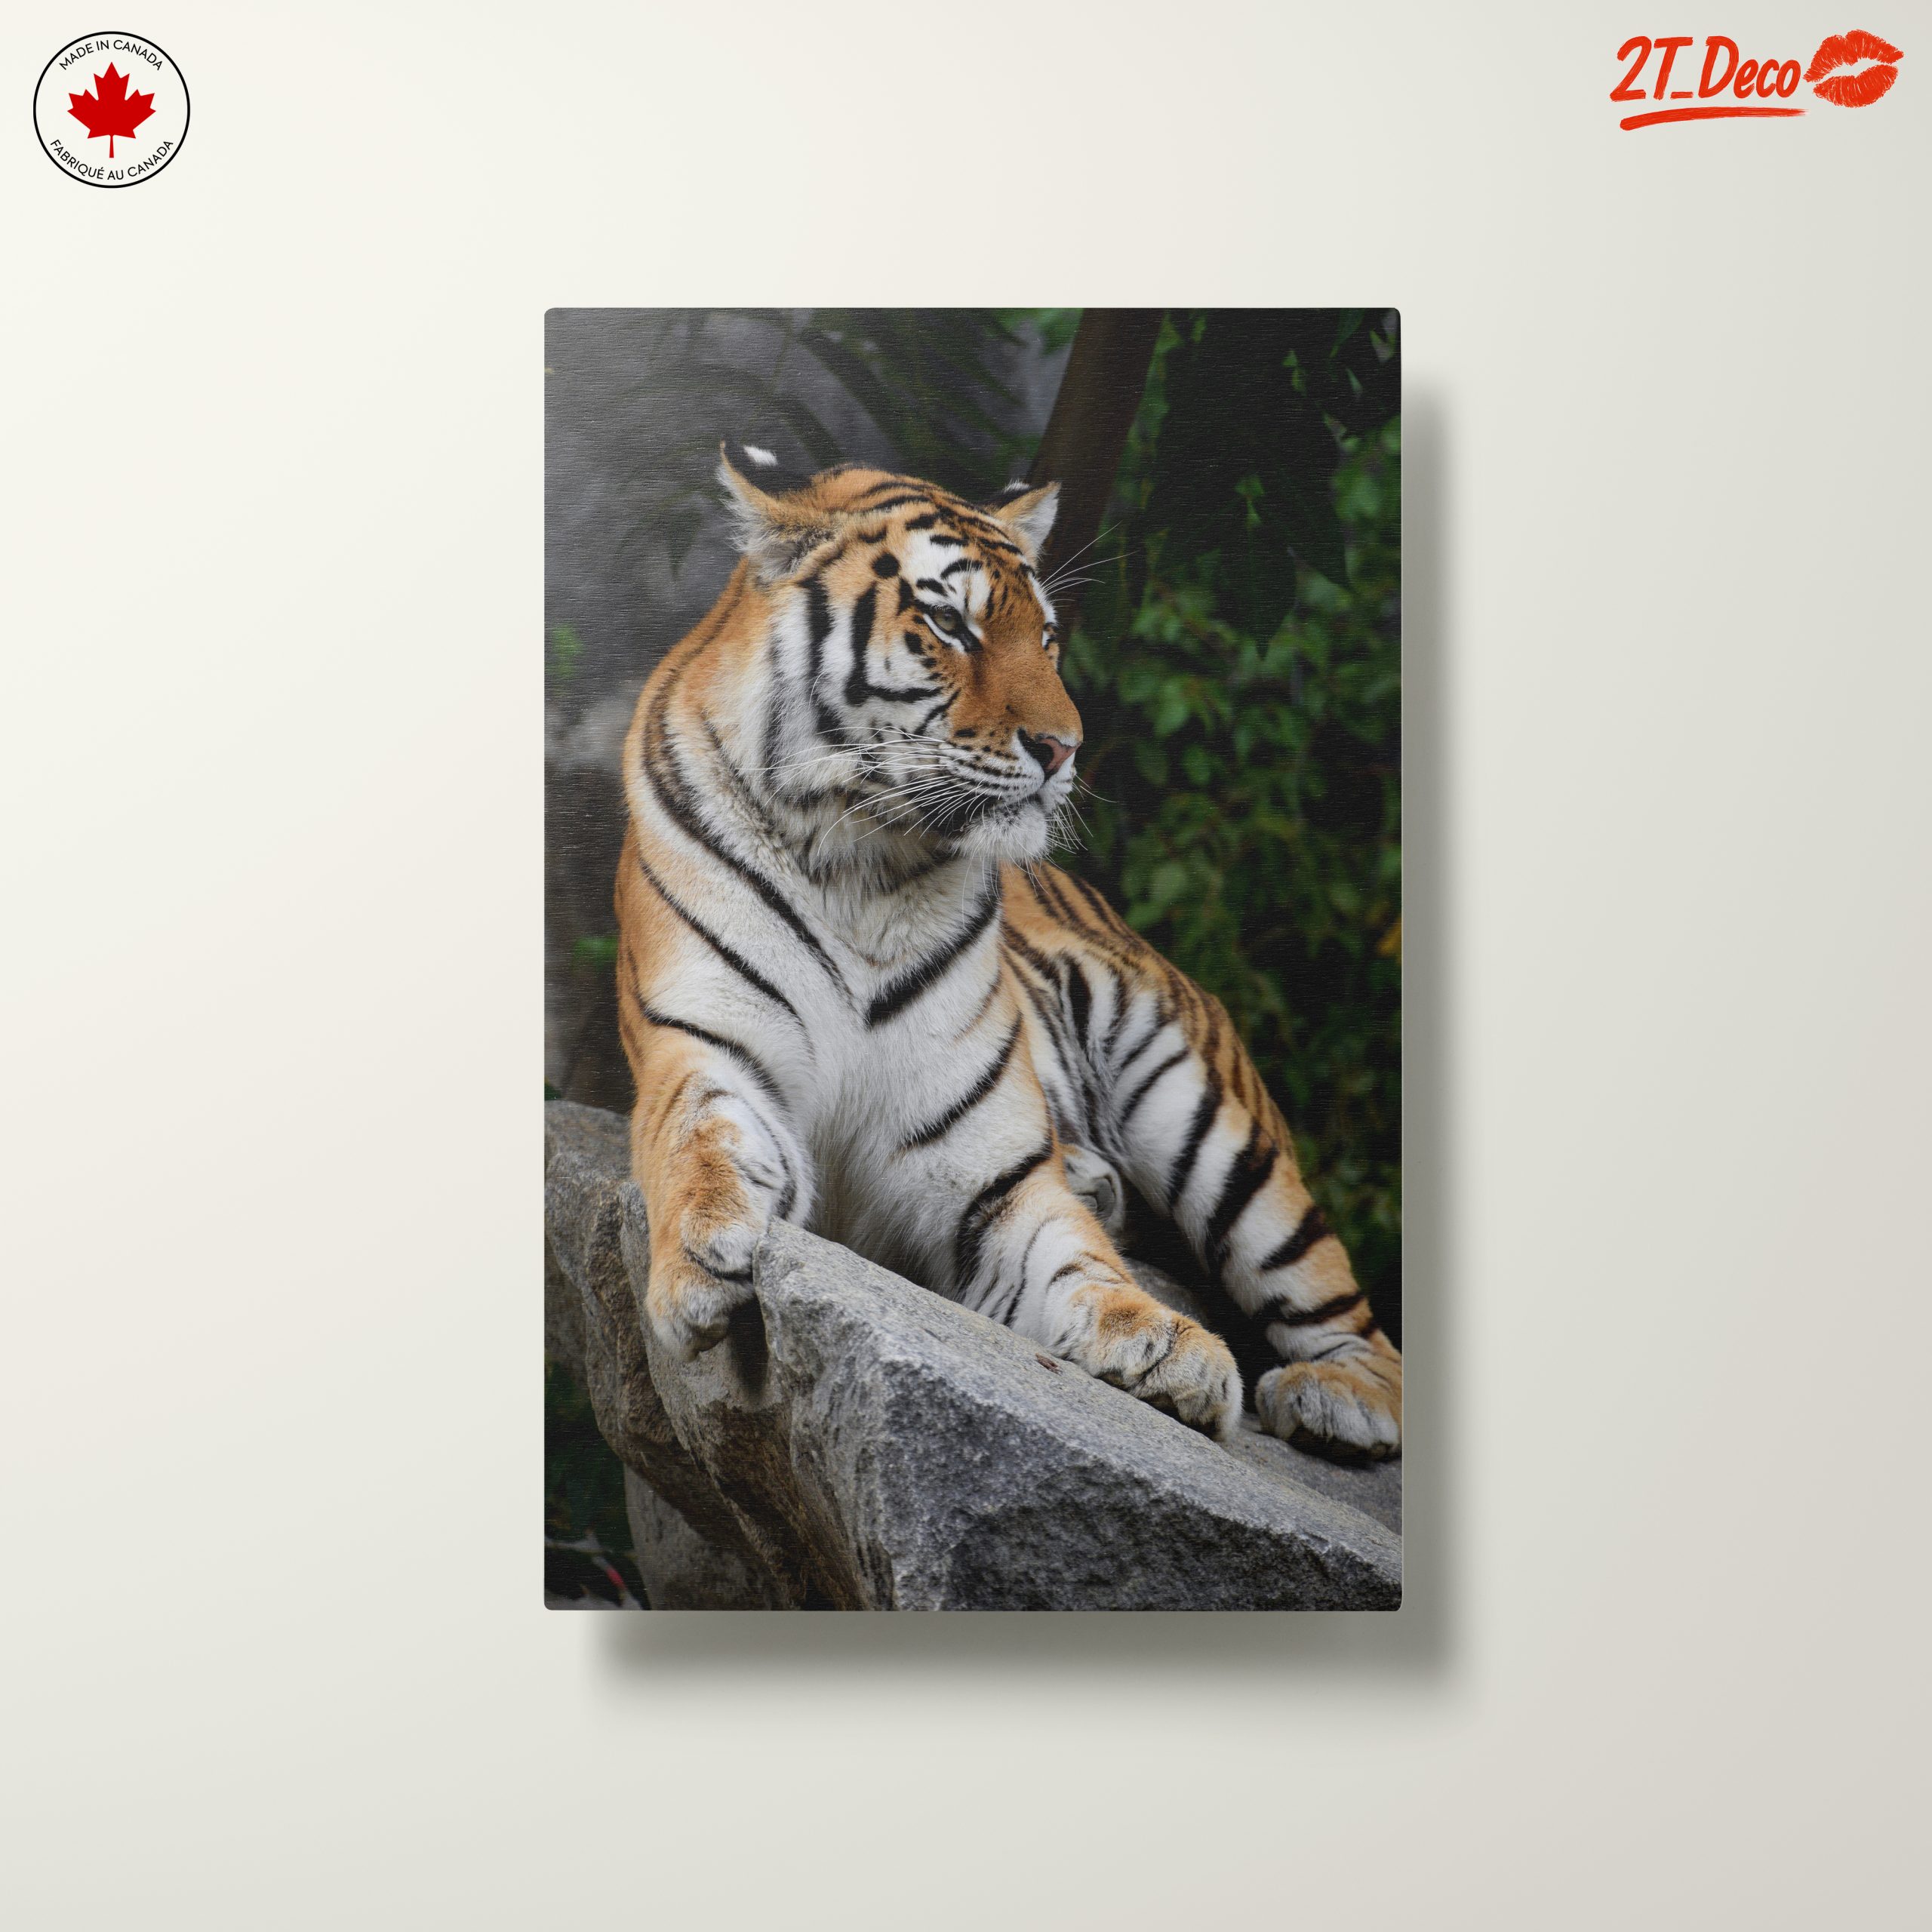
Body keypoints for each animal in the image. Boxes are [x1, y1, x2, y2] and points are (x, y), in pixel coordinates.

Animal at [612, 446, 1402, 1456]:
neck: (856, 860)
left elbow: (1073, 1258)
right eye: (949, 622)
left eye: (1049, 637)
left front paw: (1166, 1346)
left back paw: (1339, 1398)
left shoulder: (987, 1169)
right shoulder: (705, 1049)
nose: (1065, 748)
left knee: (1346, 1311)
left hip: (1210, 1115)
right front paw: (705, 1255)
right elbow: (701, 1143)